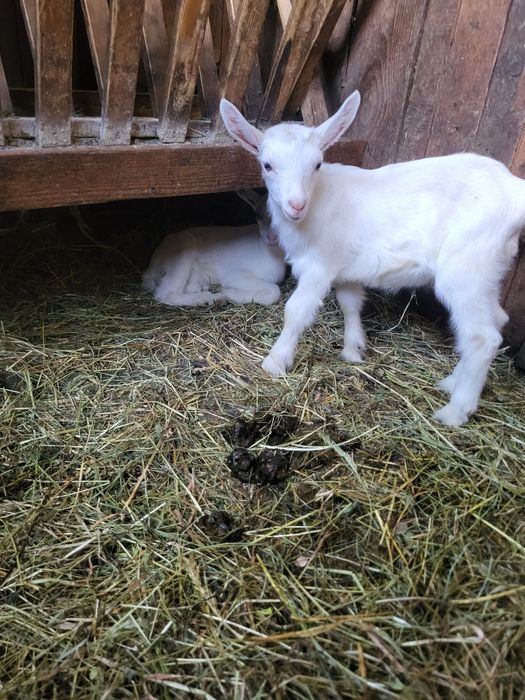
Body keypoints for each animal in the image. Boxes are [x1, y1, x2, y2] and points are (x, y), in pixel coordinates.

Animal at [142, 190, 286, 306]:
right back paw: (210, 298)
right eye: (257, 215)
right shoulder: (235, 276)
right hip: (181, 252)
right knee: (167, 293)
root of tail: (150, 268)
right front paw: (227, 293)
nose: (271, 237)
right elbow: (274, 291)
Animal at [220, 93, 524, 426]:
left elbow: (296, 311)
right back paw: (452, 382)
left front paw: (275, 361)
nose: (296, 205)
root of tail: (515, 191)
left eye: (317, 164)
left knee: (483, 337)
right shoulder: (347, 266)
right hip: (487, 268)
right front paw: (353, 350)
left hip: (466, 266)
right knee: (496, 320)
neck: (316, 205)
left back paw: (455, 411)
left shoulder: (319, 265)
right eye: (267, 165)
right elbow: (350, 303)